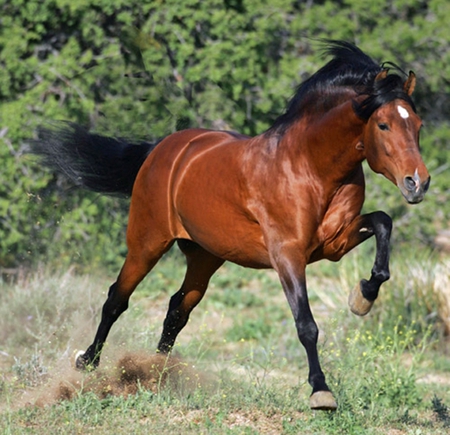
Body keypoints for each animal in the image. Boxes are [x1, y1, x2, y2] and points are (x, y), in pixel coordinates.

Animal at [31, 39, 428, 410]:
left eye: (418, 125)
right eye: (383, 124)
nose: (417, 183)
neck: (310, 166)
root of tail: (162, 149)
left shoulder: (333, 244)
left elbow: (383, 223)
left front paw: (363, 297)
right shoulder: (287, 254)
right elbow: (306, 324)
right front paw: (321, 391)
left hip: (206, 256)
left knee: (177, 310)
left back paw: (155, 375)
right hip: (147, 243)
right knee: (117, 299)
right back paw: (88, 363)